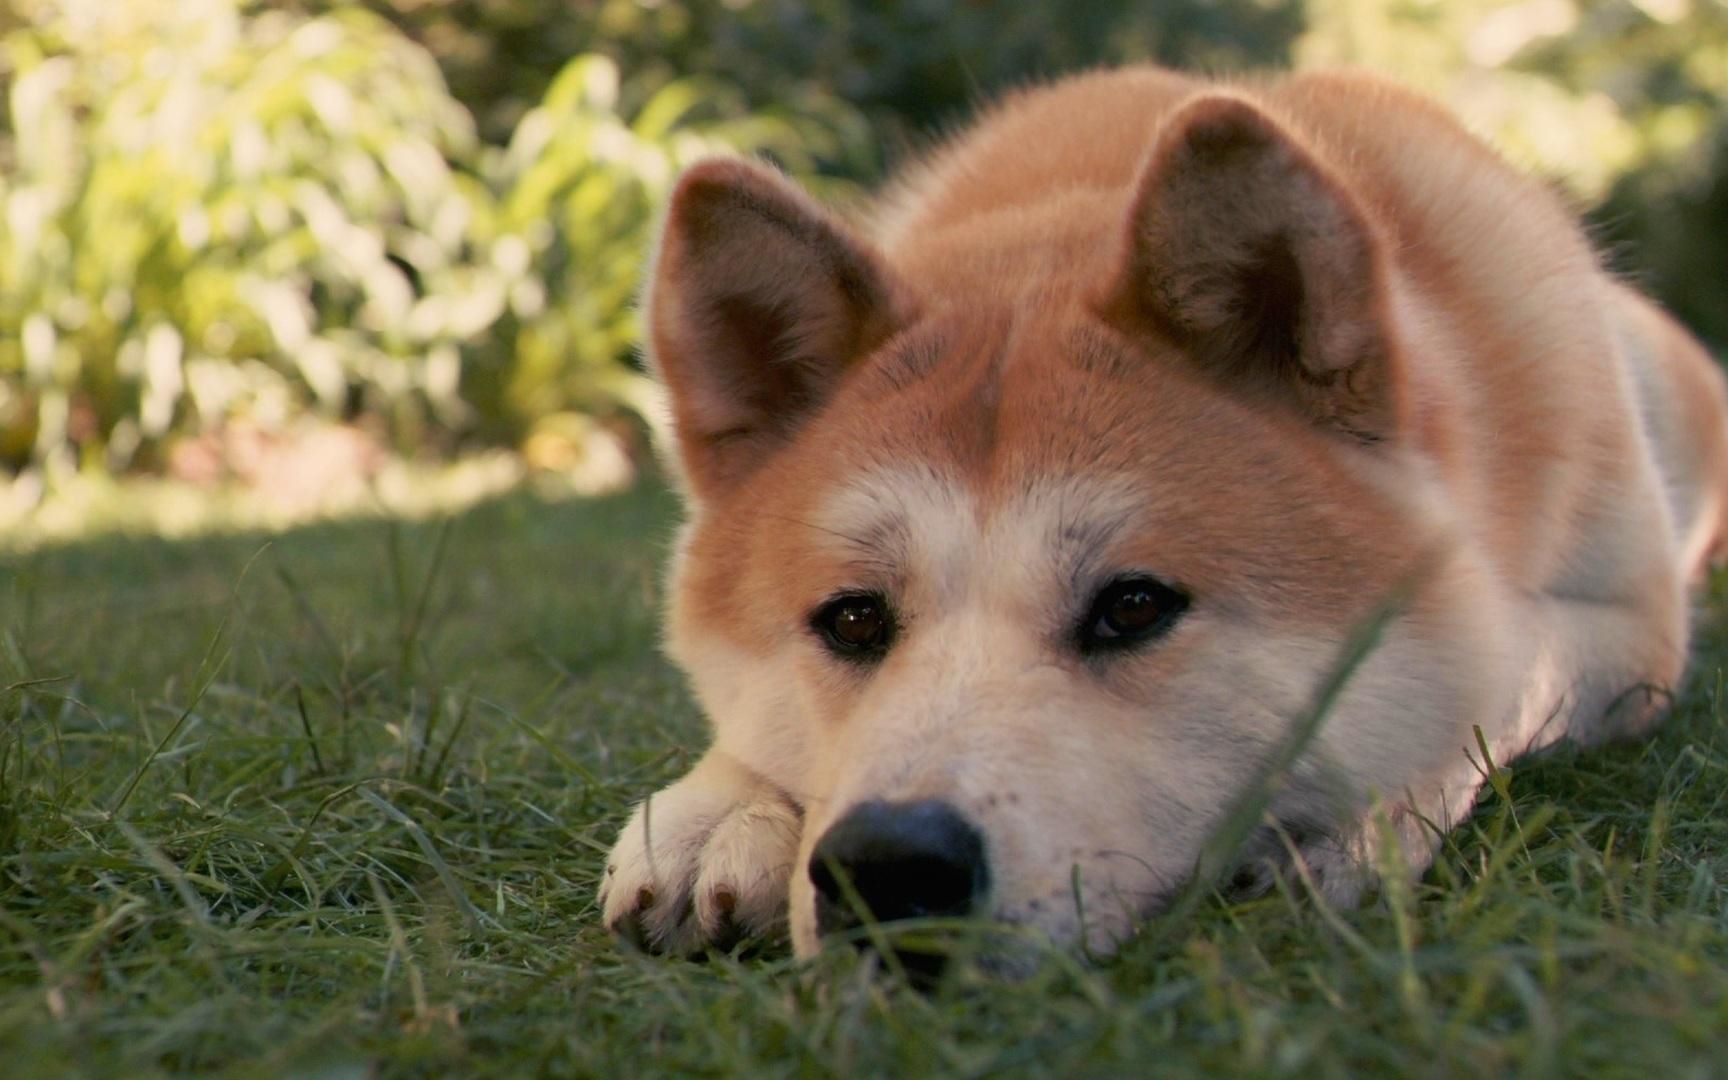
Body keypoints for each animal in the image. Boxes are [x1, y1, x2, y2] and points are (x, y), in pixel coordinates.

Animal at [597, 63, 1728, 967]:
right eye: (854, 619)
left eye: (1134, 607)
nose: (888, 865)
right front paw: (720, 808)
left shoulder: (1630, 631)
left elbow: (1507, 669)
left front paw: (1361, 822)